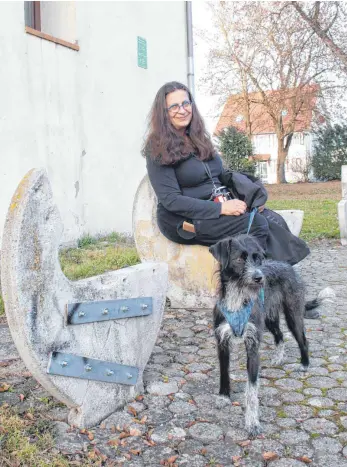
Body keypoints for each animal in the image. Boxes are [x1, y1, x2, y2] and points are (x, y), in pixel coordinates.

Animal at [209, 236, 332, 440]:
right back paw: (278, 358)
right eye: (239, 259)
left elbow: (252, 390)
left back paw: (304, 364)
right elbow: (224, 374)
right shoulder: (222, 342)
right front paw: (224, 397)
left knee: (303, 340)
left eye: (258, 257)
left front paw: (252, 423)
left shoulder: (253, 346)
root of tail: (288, 266)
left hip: (293, 316)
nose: (260, 278)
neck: (238, 297)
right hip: (270, 319)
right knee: (280, 335)